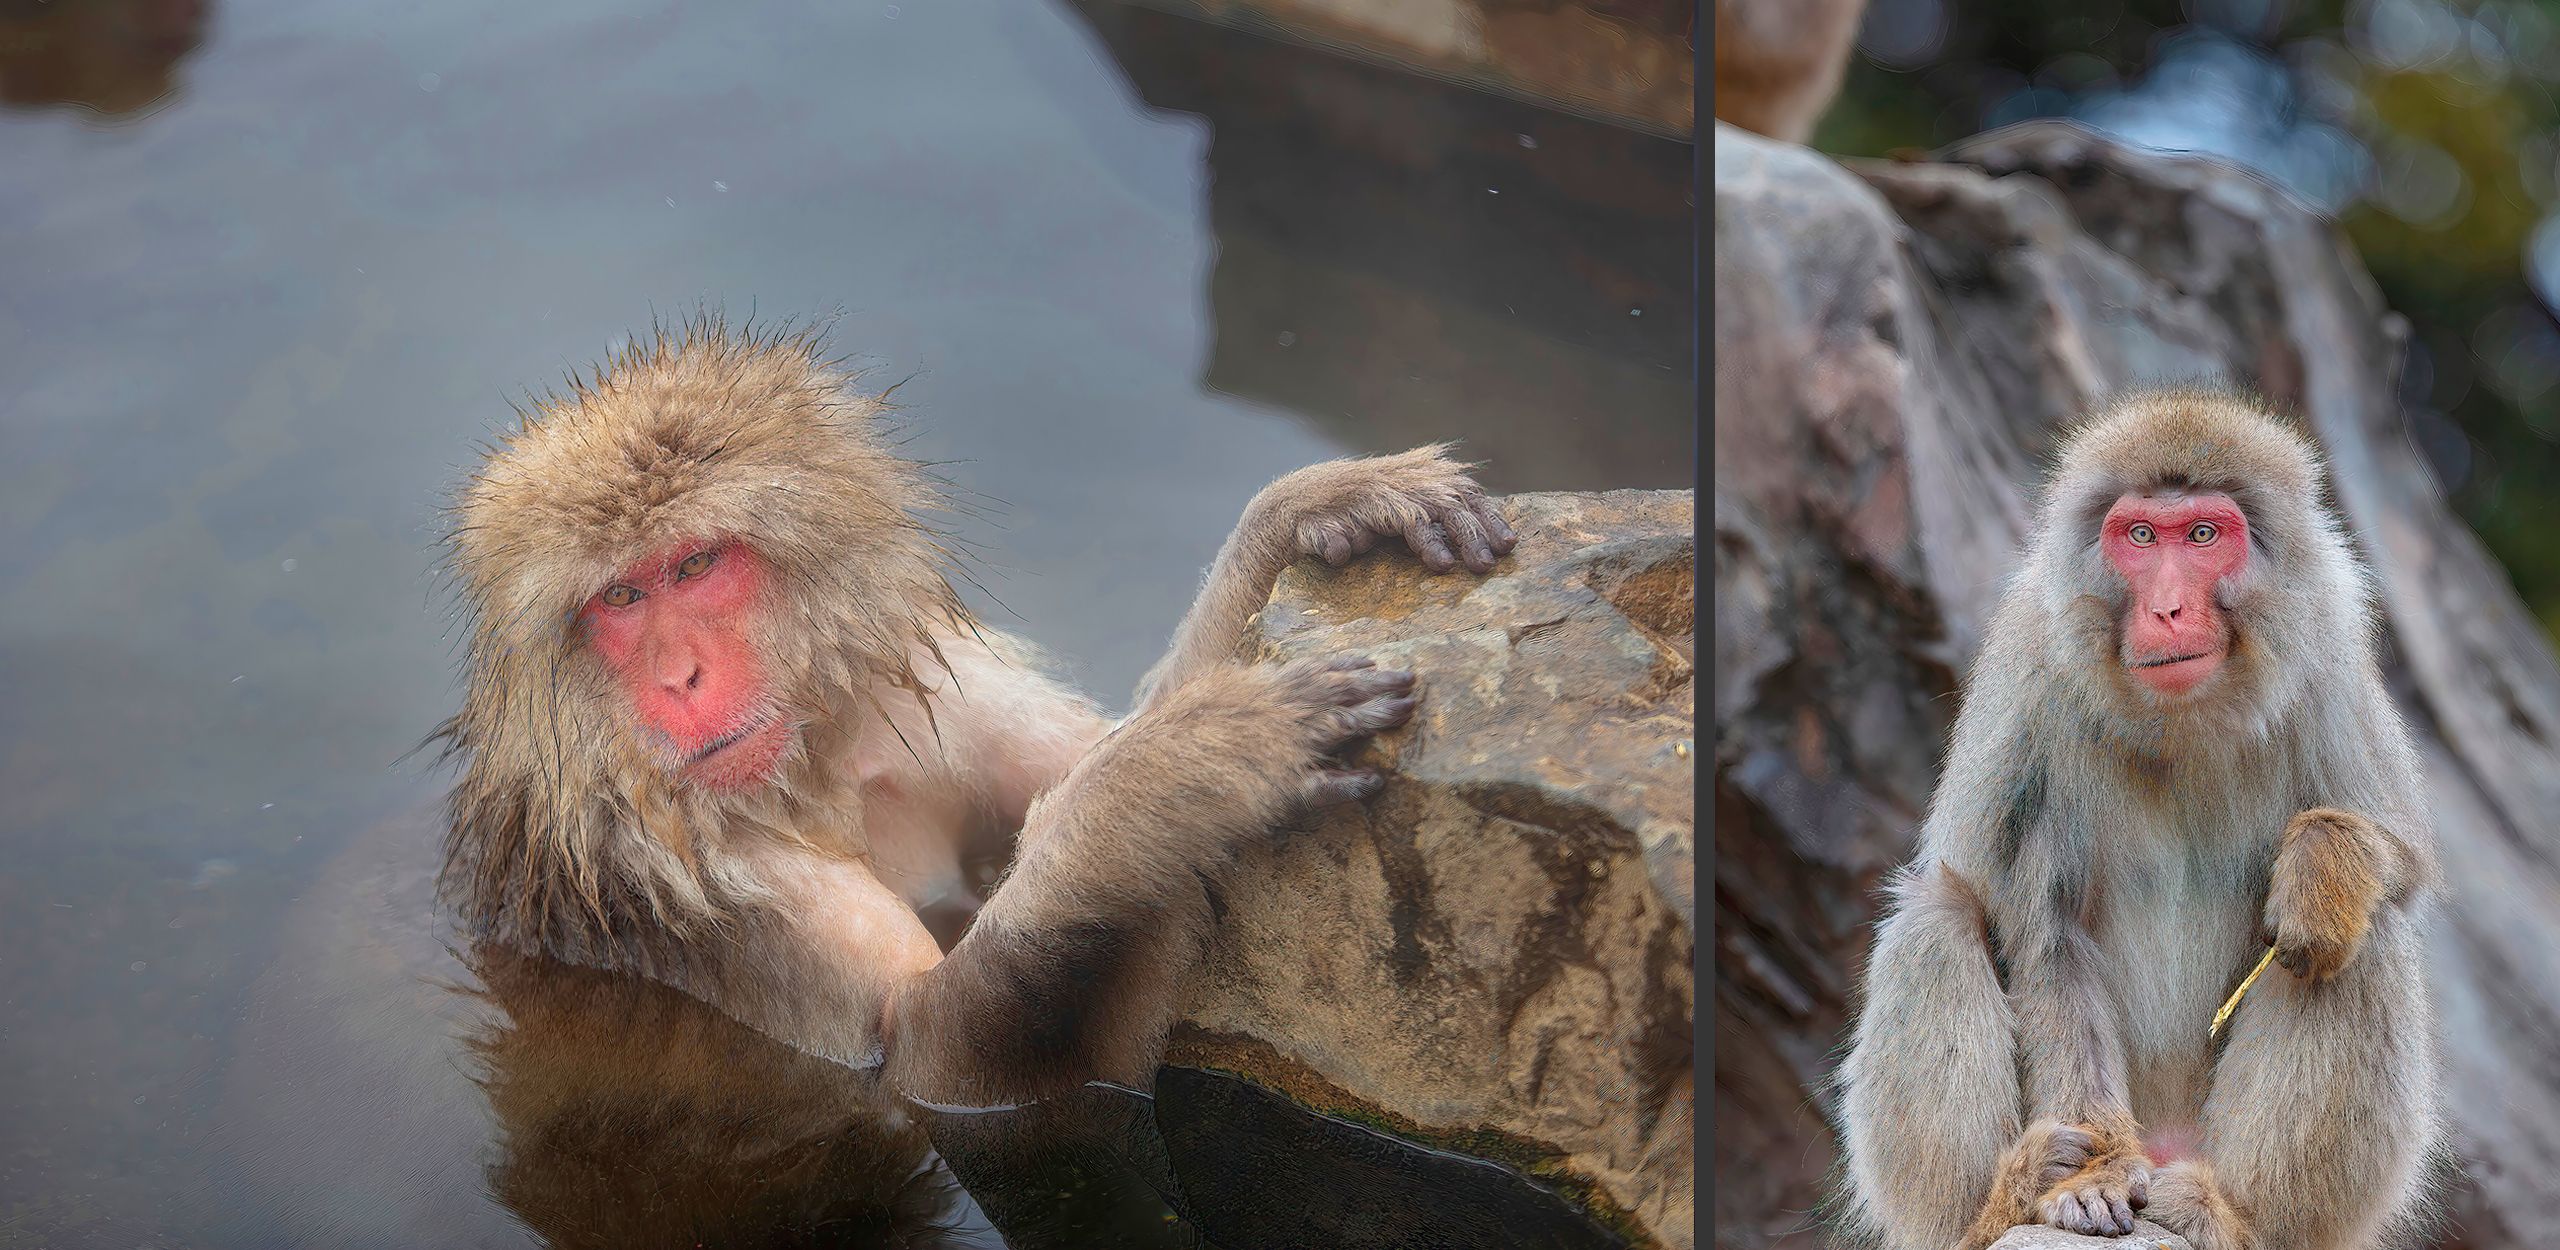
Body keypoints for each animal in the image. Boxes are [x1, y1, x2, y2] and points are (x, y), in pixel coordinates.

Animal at [435, 316, 1518, 1111]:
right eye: (619, 600)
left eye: (695, 565)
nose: (680, 677)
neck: (814, 767)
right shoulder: (714, 890)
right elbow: (929, 1062)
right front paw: (1175, 777)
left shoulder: (940, 696)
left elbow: (1079, 757)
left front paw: (1298, 513)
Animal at [1831, 388, 2448, 1250]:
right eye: (2142, 537)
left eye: (2203, 536)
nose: (2167, 608)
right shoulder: (2032, 673)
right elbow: (2048, 930)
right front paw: (2088, 1181)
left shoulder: (2328, 649)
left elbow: (2402, 860)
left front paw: (2325, 867)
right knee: (1936, 920)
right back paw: (2002, 1203)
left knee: (2362, 940)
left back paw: (2231, 1214)